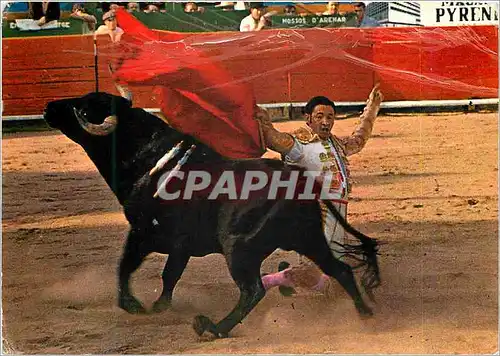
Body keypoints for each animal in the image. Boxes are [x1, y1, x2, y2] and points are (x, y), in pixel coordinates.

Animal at [43, 92, 380, 336]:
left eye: (85, 106)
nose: (49, 106)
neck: (148, 159)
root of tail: (299, 181)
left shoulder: (143, 232)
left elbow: (126, 266)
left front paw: (134, 305)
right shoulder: (177, 245)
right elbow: (168, 275)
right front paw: (159, 306)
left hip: (238, 247)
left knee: (253, 290)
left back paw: (213, 327)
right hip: (308, 239)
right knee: (340, 270)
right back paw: (365, 315)